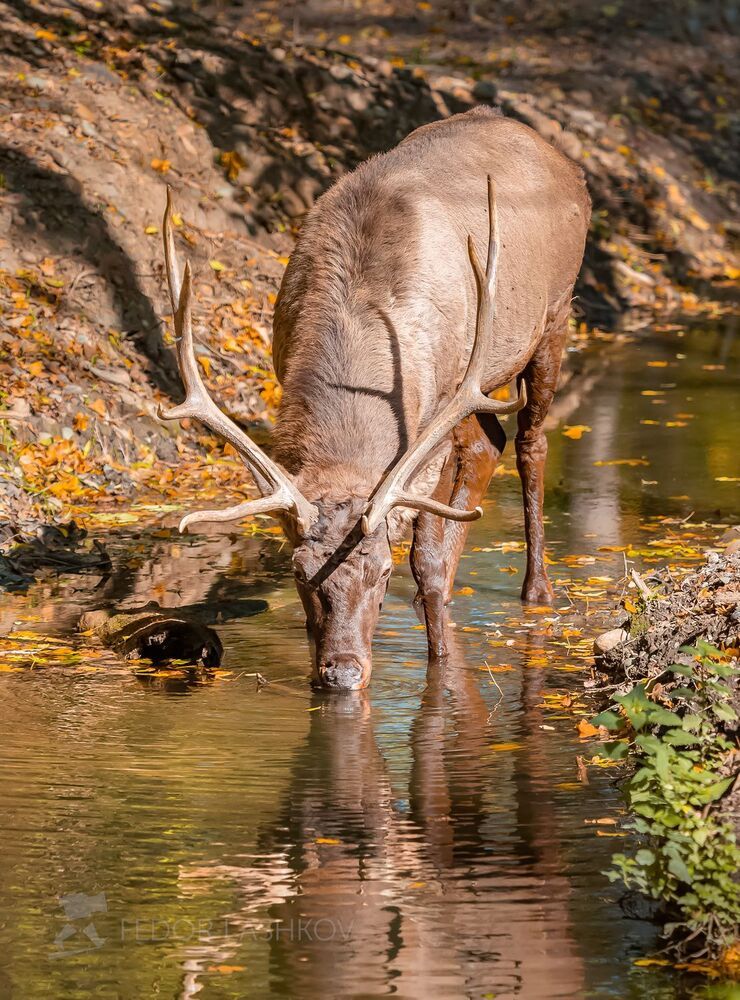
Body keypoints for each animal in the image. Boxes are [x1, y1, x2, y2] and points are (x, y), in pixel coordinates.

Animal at [159, 106, 590, 691]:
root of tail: (564, 161)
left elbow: (425, 556)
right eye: (299, 572)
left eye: (383, 571)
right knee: (489, 442)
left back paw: (536, 589)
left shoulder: (439, 406)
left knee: (530, 441)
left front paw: (439, 666)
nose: (342, 672)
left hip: (554, 314)